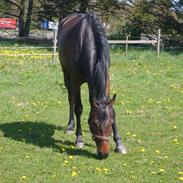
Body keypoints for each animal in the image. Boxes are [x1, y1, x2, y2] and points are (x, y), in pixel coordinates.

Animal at [58, 12, 126, 159]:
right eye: (93, 123)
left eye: (110, 122)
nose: (104, 154)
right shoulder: (76, 80)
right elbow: (78, 108)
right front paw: (79, 139)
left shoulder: (106, 77)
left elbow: (112, 109)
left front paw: (119, 144)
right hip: (67, 75)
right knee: (71, 99)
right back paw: (70, 126)